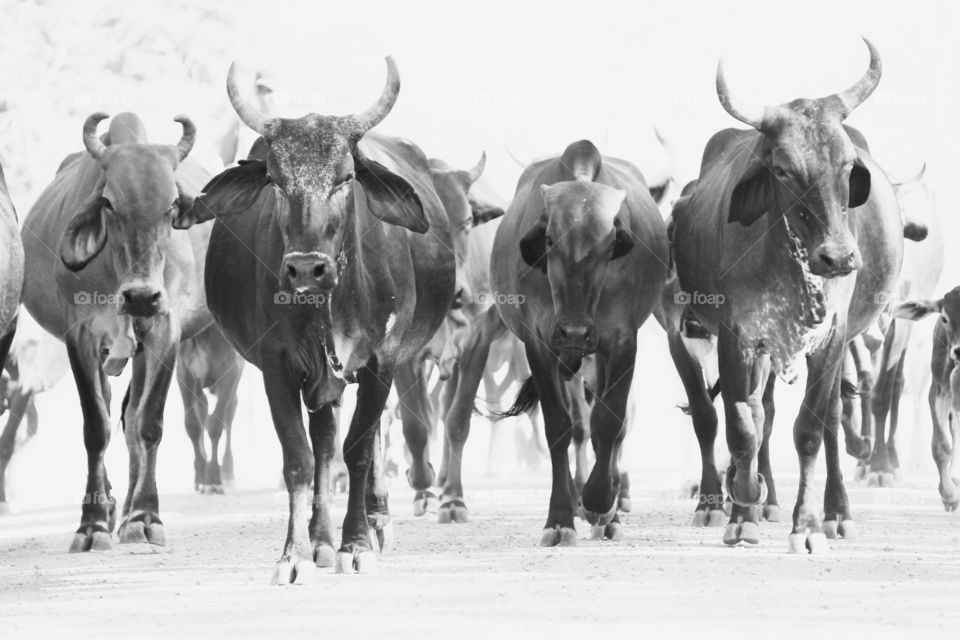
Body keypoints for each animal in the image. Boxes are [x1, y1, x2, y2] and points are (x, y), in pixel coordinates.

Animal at [21, 111, 212, 552]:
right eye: (109, 202)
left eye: (171, 203)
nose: (141, 296)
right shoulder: (82, 337)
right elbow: (96, 426)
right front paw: (91, 524)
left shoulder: (165, 330)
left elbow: (148, 423)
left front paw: (145, 517)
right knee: (112, 413)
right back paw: (109, 508)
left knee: (132, 421)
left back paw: (127, 514)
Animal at [179, 58, 455, 581]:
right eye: (274, 178)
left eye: (346, 177)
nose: (307, 268)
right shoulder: (278, 367)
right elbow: (301, 460)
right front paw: (294, 555)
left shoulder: (382, 362)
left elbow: (360, 451)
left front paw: (357, 544)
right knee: (324, 447)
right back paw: (320, 537)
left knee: (362, 444)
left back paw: (373, 521)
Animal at [493, 139, 669, 545]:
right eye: (548, 239)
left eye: (610, 244)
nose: (574, 332)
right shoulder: (541, 344)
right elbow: (560, 426)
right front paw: (560, 518)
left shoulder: (620, 342)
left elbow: (610, 421)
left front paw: (600, 502)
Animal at [671, 39, 902, 553]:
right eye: (782, 169)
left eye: (847, 164)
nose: (838, 257)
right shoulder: (737, 335)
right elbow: (742, 426)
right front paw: (743, 513)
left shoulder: (832, 337)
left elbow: (811, 430)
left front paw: (807, 526)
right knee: (755, 415)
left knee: (832, 419)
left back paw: (837, 512)